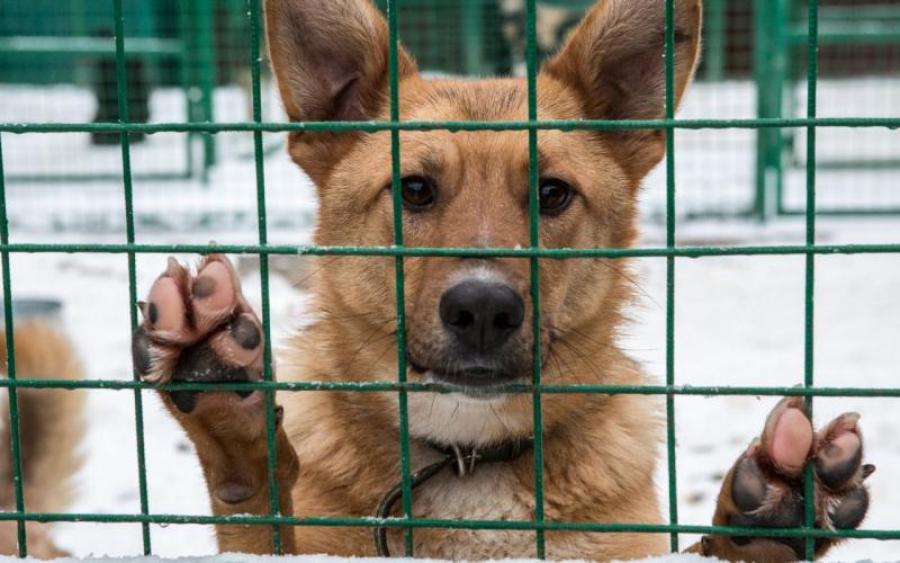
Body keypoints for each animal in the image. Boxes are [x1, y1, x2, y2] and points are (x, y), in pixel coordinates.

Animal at [132, 0, 873, 560]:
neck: (468, 454)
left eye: (552, 192)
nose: (484, 308)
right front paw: (228, 409)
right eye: (414, 188)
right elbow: (258, 521)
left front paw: (767, 524)